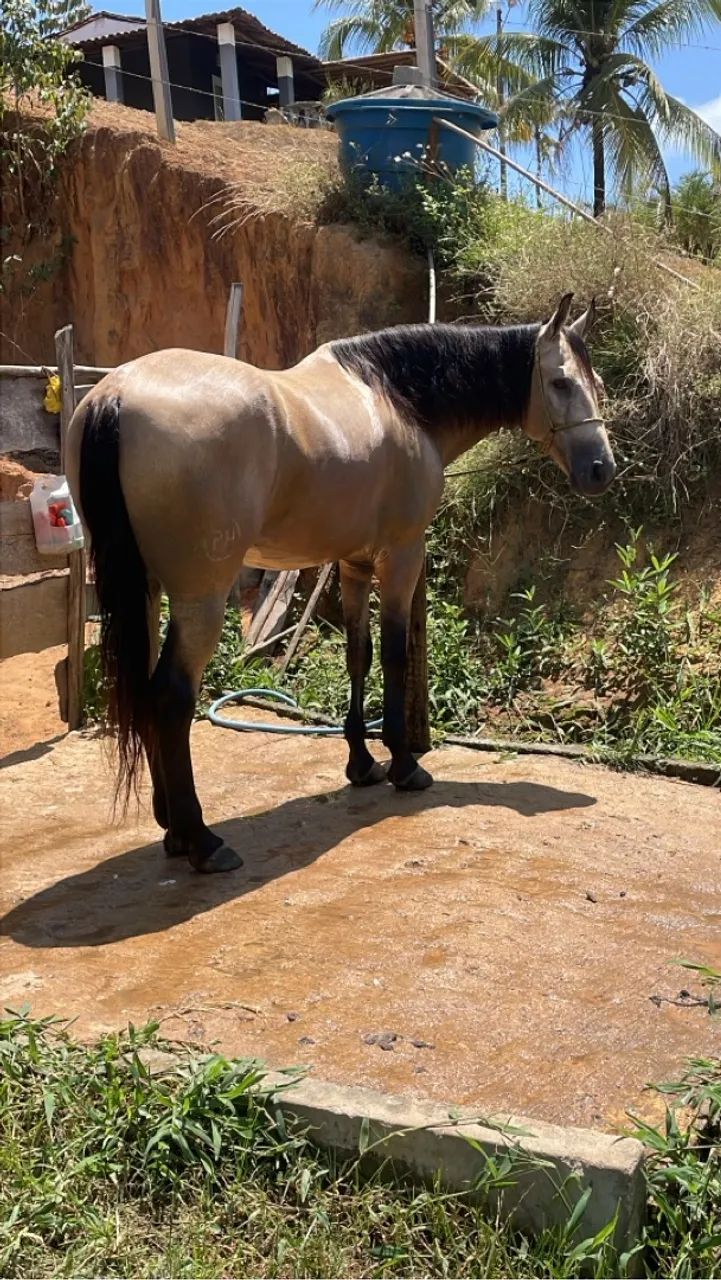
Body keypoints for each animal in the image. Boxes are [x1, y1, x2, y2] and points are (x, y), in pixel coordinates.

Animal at [66, 291, 615, 874]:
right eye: (560, 383)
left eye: (594, 382)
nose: (601, 469)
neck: (399, 400)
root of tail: (117, 393)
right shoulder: (401, 556)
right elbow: (395, 654)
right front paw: (404, 764)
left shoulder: (353, 563)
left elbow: (359, 653)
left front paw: (362, 763)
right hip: (200, 599)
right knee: (170, 697)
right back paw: (202, 840)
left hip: (145, 589)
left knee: (146, 691)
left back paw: (170, 825)